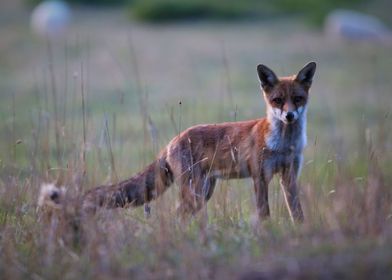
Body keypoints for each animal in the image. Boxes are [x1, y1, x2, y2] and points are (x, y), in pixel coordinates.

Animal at [39, 62, 316, 222]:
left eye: (298, 99)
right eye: (277, 100)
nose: (289, 116)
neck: (284, 144)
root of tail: (172, 141)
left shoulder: (290, 175)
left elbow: (297, 212)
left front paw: (299, 236)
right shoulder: (260, 176)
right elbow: (264, 214)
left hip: (204, 191)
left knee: (181, 216)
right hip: (195, 191)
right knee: (178, 215)